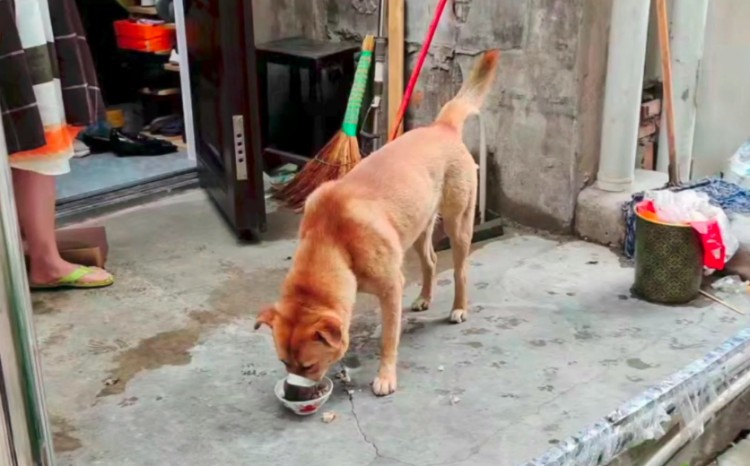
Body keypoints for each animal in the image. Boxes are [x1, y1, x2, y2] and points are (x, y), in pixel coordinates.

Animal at [256, 51, 502, 396]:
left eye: (308, 366)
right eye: (283, 363)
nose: (291, 394)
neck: (331, 239)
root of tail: (442, 127)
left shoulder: (390, 288)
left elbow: (388, 339)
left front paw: (386, 376)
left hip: (459, 224)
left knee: (459, 270)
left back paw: (459, 308)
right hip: (417, 227)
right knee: (430, 260)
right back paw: (425, 297)